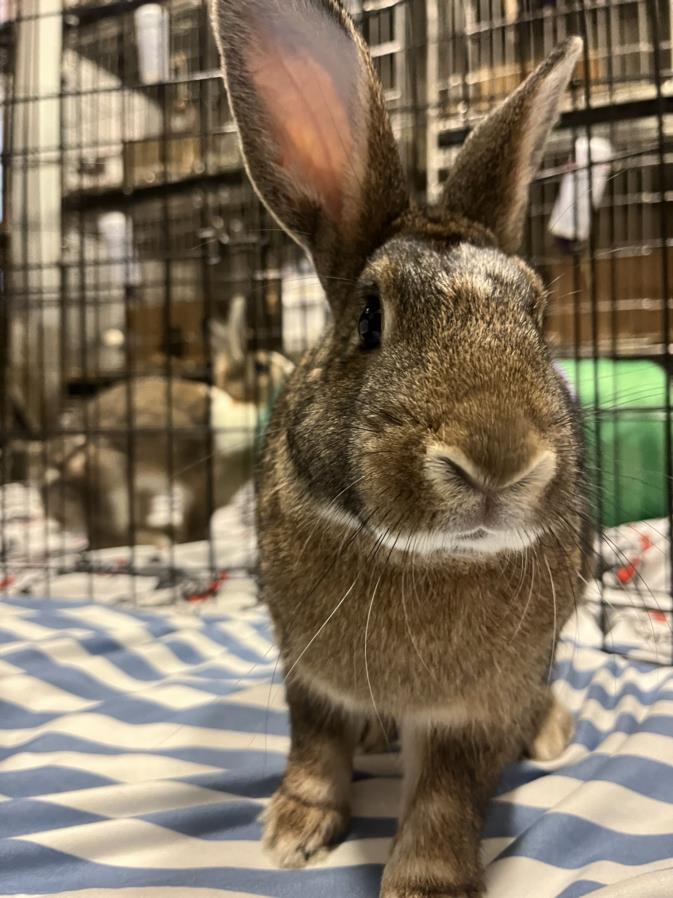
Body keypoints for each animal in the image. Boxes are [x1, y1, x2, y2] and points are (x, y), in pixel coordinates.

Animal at [210, 1, 588, 896]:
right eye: (368, 318)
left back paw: (548, 729)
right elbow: (313, 744)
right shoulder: (306, 670)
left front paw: (425, 882)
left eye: (536, 314)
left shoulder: (476, 710)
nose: (499, 460)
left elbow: (448, 796)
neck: (425, 557)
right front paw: (294, 831)